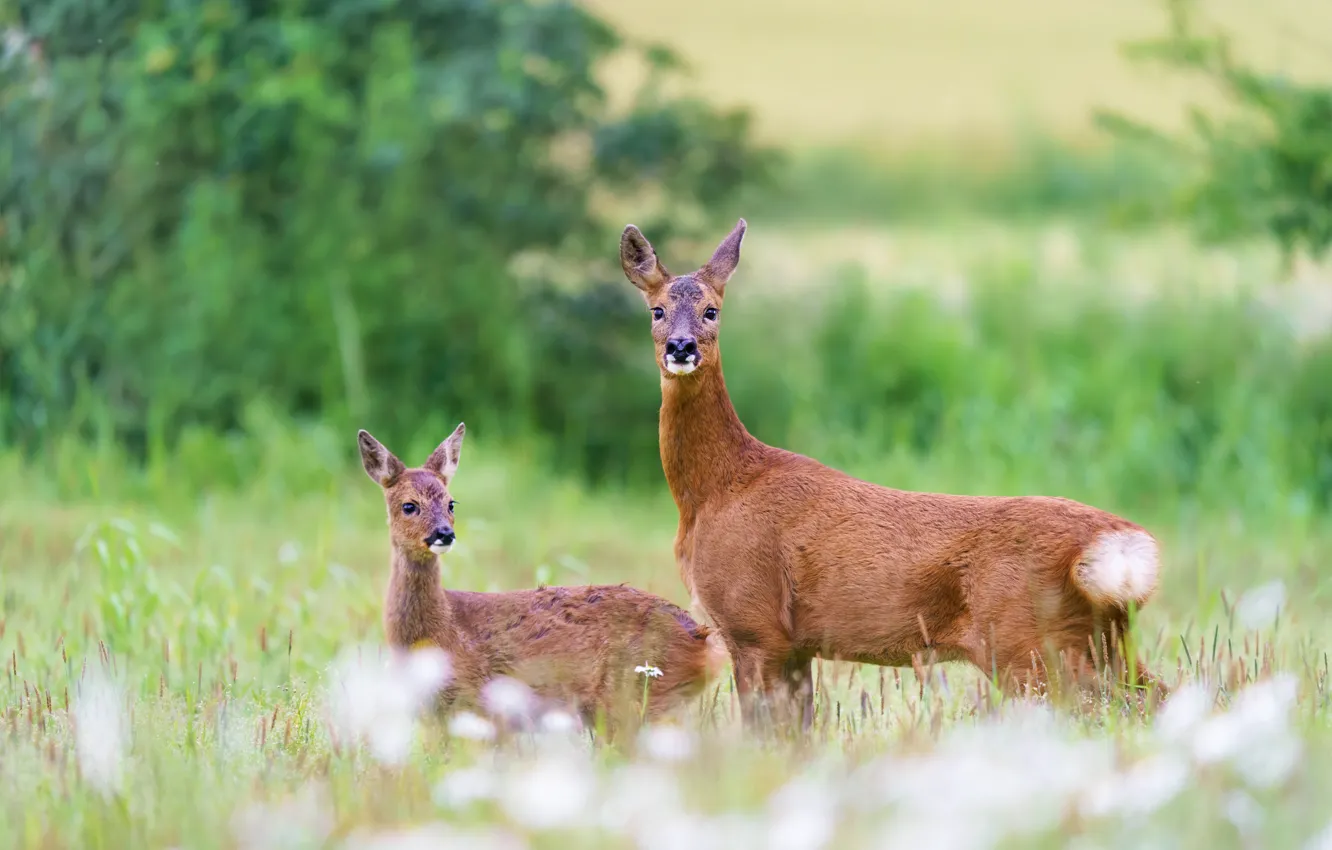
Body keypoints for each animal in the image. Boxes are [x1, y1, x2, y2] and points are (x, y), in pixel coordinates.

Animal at [618, 219, 1161, 735]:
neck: (717, 490)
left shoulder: (753, 623)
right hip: (1102, 638)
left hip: (1027, 641)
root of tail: (1119, 548)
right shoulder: (794, 644)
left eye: (712, 310)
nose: (681, 347)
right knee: (1153, 697)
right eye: (656, 311)